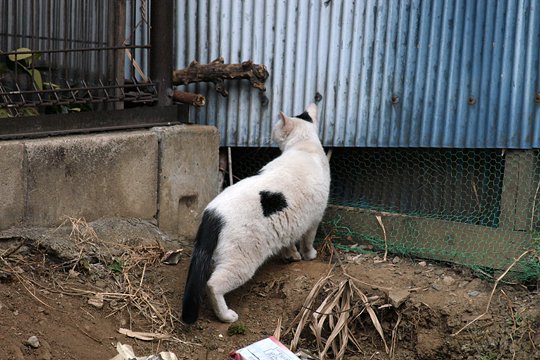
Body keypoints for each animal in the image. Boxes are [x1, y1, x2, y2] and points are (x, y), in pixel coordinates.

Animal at [181, 103, 330, 324]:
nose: (270, 133)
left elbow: (289, 242)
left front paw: (292, 255)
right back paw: (226, 315)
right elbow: (307, 240)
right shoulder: (314, 219)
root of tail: (213, 215)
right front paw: (309, 254)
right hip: (241, 262)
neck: (304, 145)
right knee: (213, 284)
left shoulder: (293, 222)